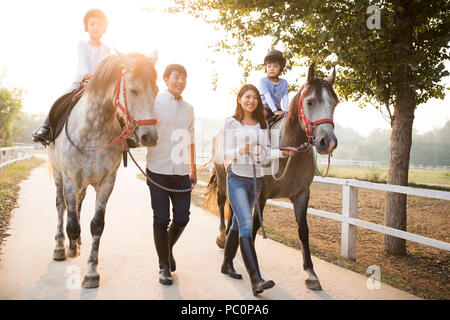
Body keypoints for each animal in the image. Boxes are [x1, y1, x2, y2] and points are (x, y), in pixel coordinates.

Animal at [206, 63, 336, 292]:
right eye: (310, 101)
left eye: (334, 103)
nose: (327, 142)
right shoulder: (261, 194)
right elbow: (255, 225)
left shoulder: (302, 195)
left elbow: (303, 231)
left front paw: (311, 274)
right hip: (222, 179)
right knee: (222, 203)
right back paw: (222, 237)